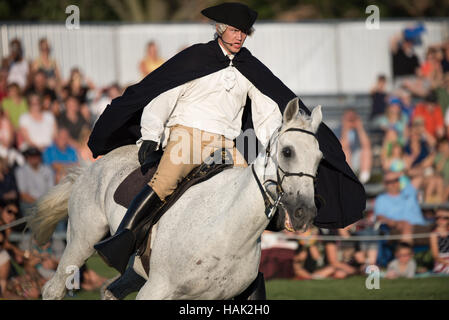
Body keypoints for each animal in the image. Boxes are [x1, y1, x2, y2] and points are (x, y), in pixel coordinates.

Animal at [28, 98, 322, 300]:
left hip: (134, 271)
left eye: (319, 159)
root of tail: (91, 168)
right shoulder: (156, 290)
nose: (304, 213)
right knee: (54, 288)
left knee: (110, 291)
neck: (227, 230)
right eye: (287, 151)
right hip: (81, 242)